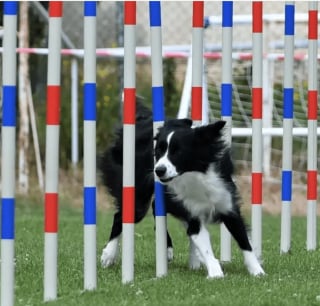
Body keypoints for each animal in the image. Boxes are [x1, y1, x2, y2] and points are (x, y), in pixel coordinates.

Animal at [100, 100, 264, 278]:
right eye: (158, 151)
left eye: (178, 152)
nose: (158, 170)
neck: (195, 175)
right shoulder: (192, 215)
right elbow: (205, 246)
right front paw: (215, 273)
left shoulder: (227, 206)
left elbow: (245, 243)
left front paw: (257, 271)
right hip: (138, 198)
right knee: (121, 216)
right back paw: (109, 255)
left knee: (154, 208)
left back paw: (168, 249)